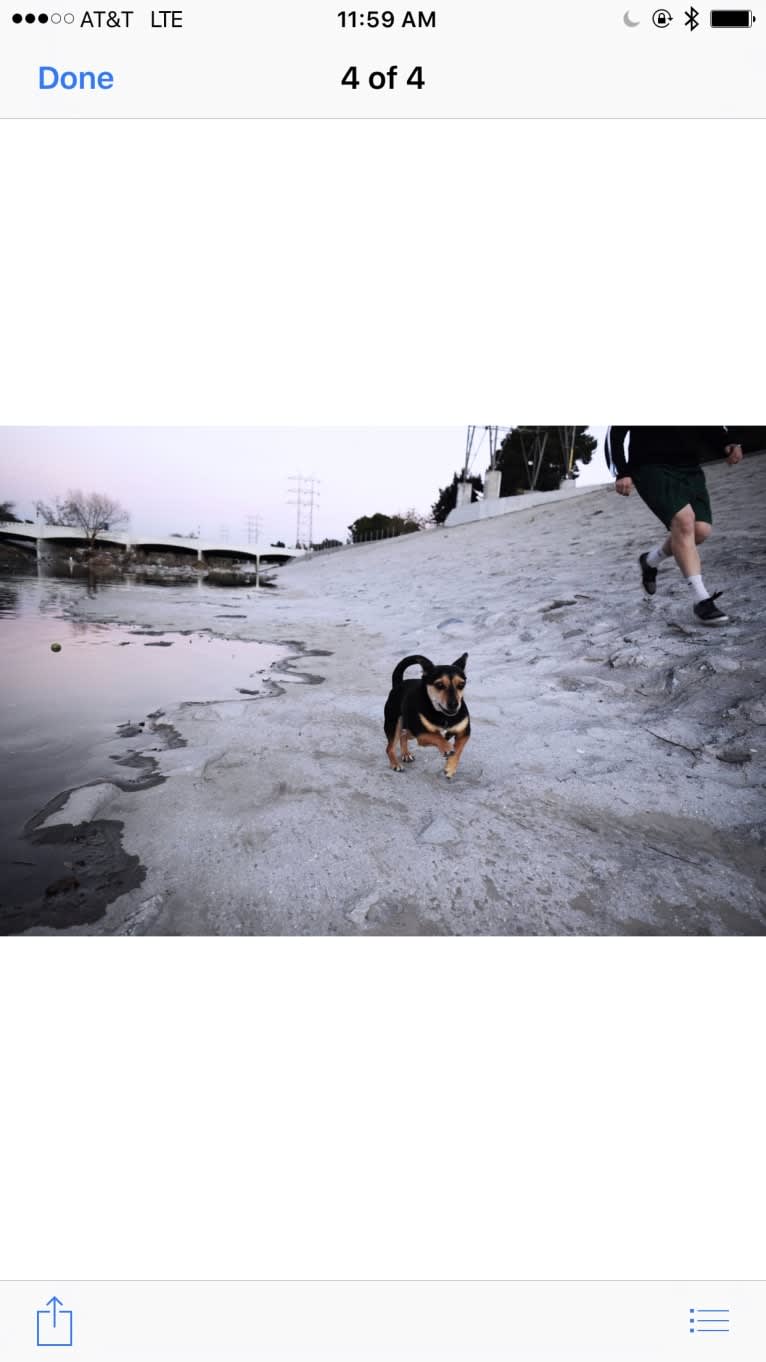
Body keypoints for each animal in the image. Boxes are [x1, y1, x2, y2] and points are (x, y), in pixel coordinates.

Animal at [384, 653, 468, 784]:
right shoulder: (422, 734)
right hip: (395, 725)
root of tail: (398, 684)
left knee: (404, 736)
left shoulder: (464, 733)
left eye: (461, 685)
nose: (454, 704)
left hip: (410, 729)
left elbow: (458, 750)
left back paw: (405, 754)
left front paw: (450, 768)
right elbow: (437, 736)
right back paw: (395, 764)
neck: (443, 716)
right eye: (439, 685)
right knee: (389, 747)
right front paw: (447, 747)